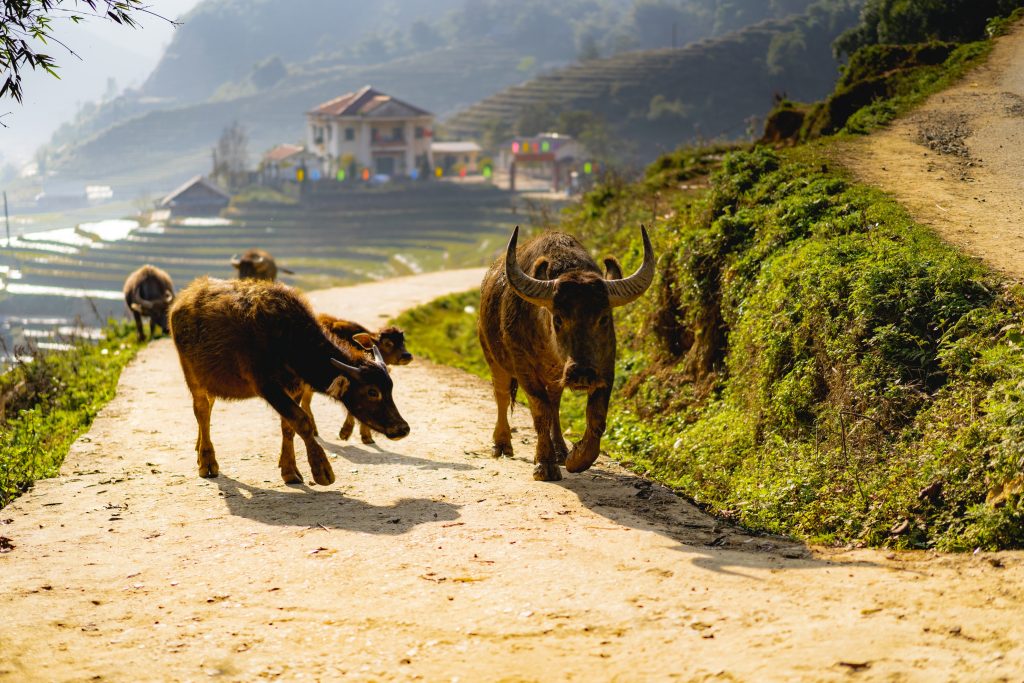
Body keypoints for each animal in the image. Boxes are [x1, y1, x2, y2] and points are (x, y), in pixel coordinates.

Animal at [296, 313, 411, 444]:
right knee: (305, 402)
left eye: (403, 341)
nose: (407, 355)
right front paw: (346, 432)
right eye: (387, 343)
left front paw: (365, 435)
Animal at [475, 225, 651, 481]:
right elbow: (540, 412)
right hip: (493, 358)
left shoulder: (606, 366)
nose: (582, 373)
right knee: (502, 395)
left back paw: (560, 450)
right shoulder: (524, 368)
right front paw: (545, 464)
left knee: (555, 403)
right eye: (558, 319)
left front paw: (577, 458)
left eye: (603, 318)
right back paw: (502, 444)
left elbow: (596, 416)